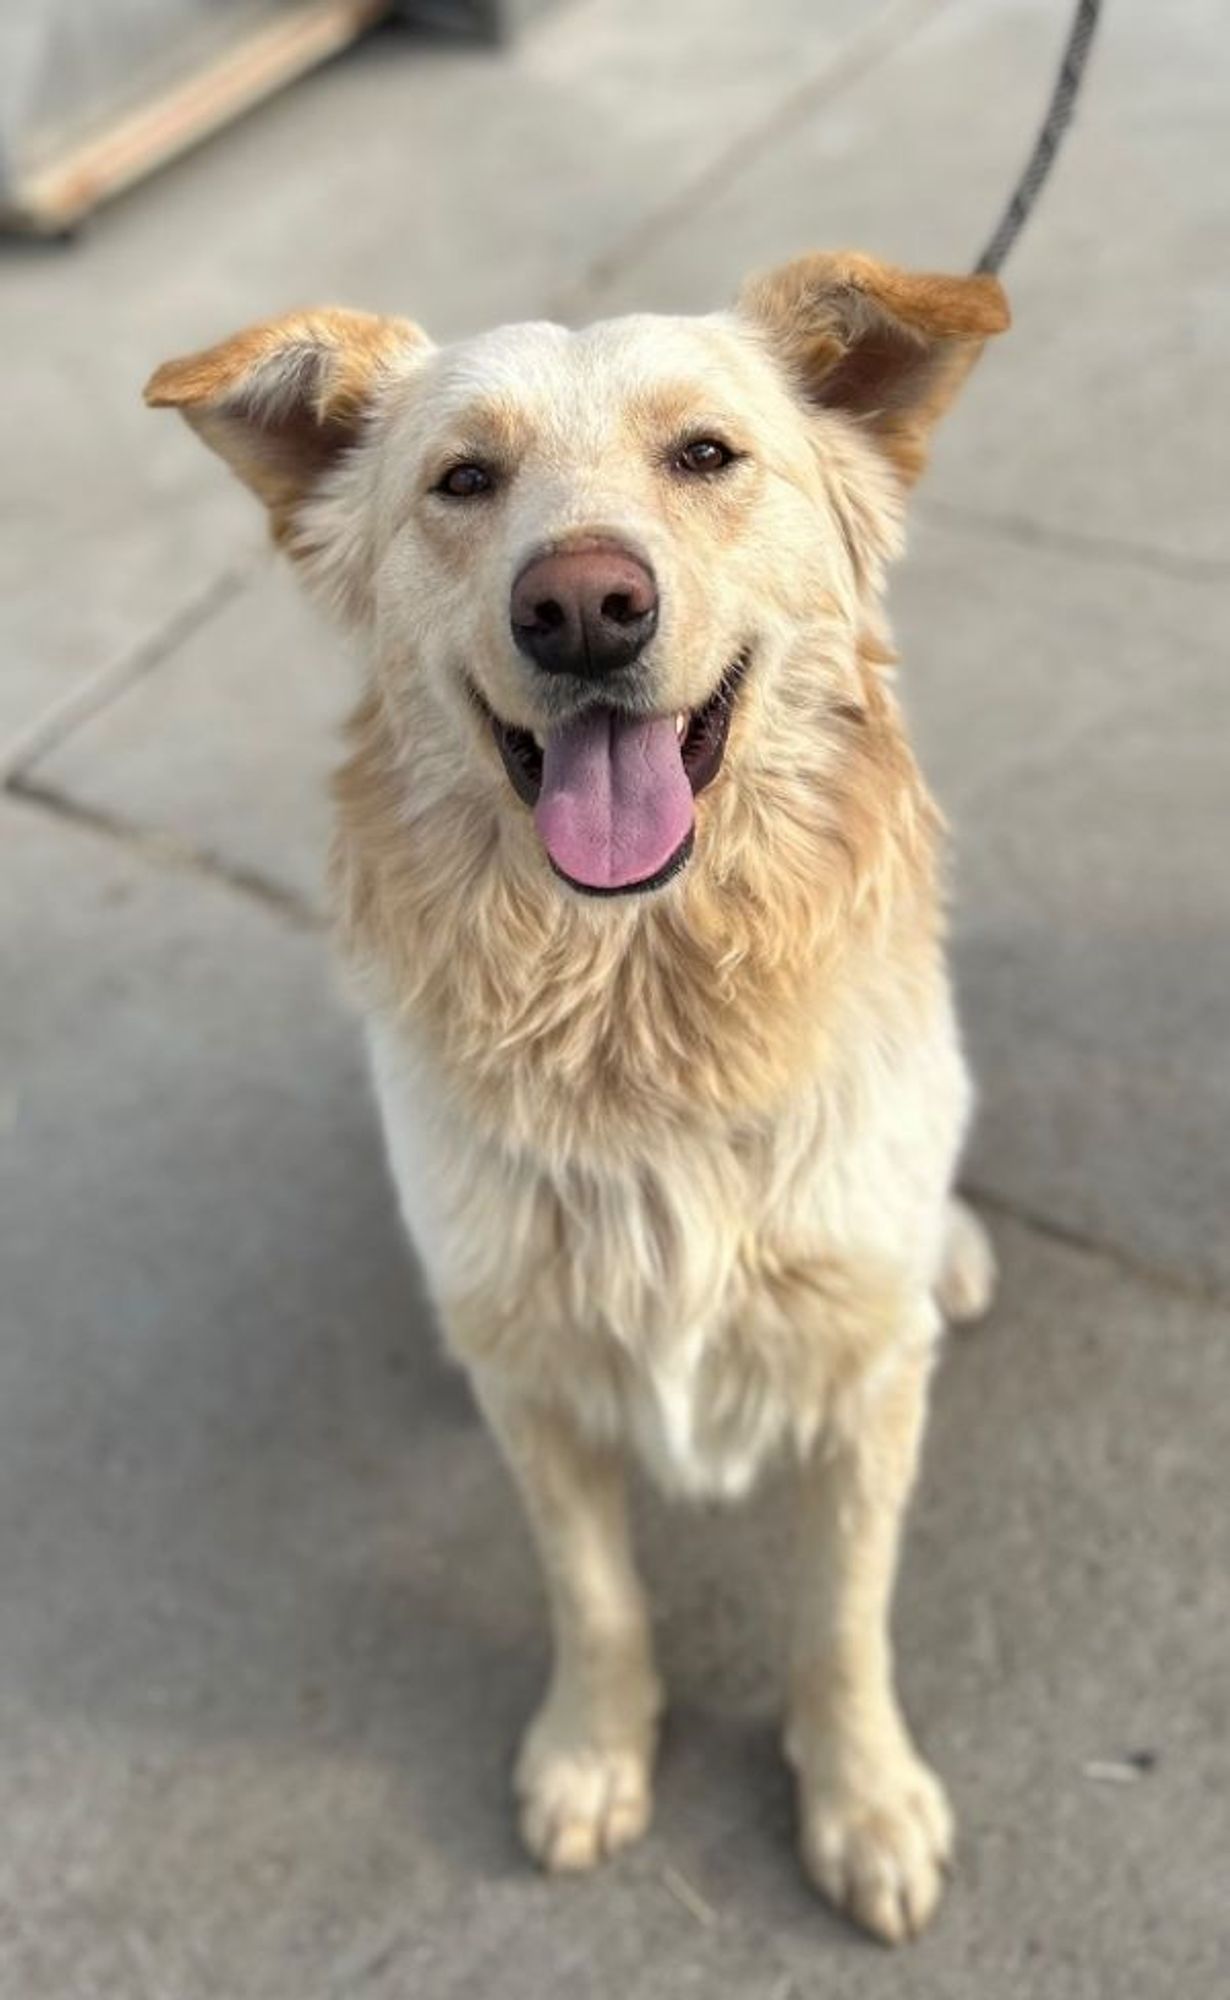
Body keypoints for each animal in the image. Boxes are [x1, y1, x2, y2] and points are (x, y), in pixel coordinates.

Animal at [147, 254, 1012, 1952]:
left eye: (705, 456)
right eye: (461, 482)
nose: (582, 607)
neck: (636, 1010)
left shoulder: (862, 1387)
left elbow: (839, 1617)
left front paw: (861, 1799)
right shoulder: (535, 1390)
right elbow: (594, 1593)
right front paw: (593, 1753)